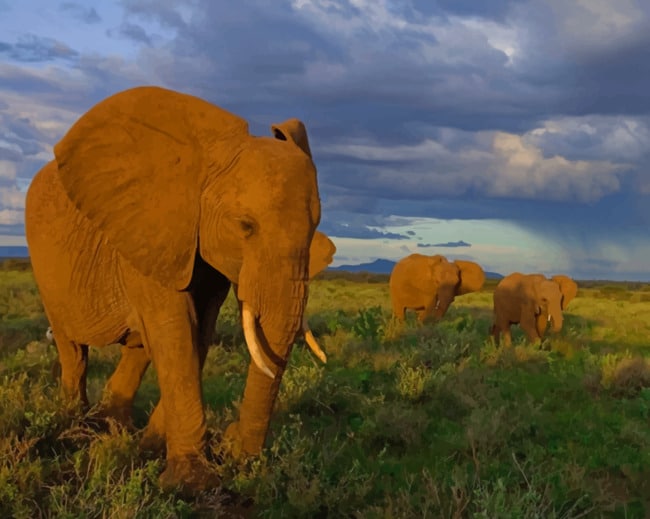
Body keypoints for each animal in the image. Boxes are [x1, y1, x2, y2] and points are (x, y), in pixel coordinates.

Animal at [24, 86, 321, 492]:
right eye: (245, 226)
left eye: (316, 227)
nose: (232, 444)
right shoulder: (150, 231)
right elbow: (176, 331)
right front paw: (190, 482)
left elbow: (198, 334)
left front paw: (153, 451)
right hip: (46, 272)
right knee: (74, 350)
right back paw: (76, 427)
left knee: (138, 348)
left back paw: (115, 428)